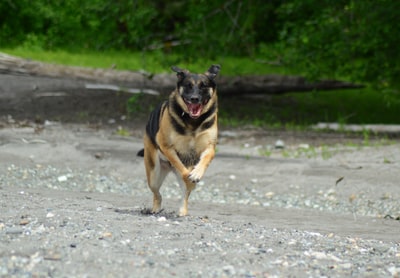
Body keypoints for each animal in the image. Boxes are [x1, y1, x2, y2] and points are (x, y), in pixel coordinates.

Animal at [138, 64, 220, 216]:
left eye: (203, 86)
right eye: (188, 85)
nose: (194, 98)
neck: (193, 121)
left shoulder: (209, 146)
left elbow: (205, 160)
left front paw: (196, 173)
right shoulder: (167, 146)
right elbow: (182, 168)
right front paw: (189, 176)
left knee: (184, 195)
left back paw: (183, 210)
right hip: (153, 174)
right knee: (157, 193)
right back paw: (155, 209)